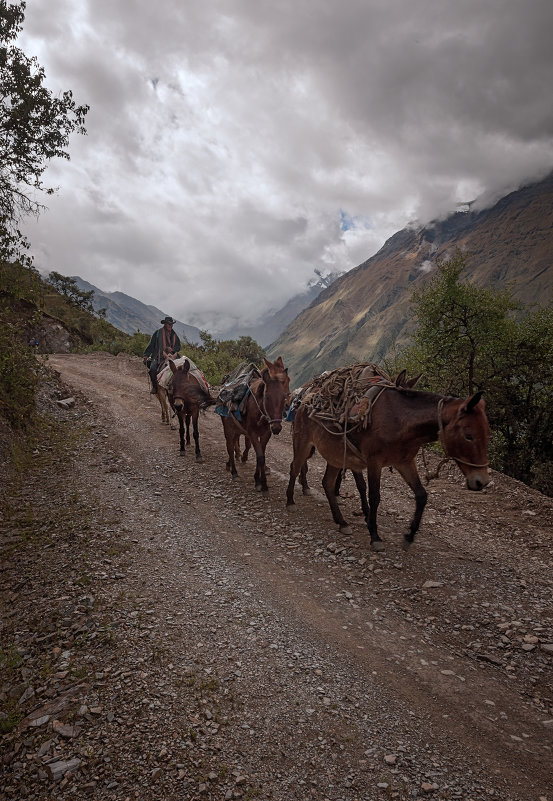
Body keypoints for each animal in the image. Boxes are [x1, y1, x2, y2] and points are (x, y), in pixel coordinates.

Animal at [220, 358, 288, 494]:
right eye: (267, 397)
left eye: (284, 396)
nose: (277, 428)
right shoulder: (252, 433)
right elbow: (260, 456)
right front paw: (262, 483)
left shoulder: (266, 434)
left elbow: (260, 455)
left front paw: (258, 479)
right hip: (228, 428)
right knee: (229, 446)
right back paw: (234, 472)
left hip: (236, 429)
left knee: (234, 444)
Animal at [286, 386, 490, 552]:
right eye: (469, 436)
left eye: (487, 434)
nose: (482, 482)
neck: (401, 420)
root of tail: (304, 402)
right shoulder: (374, 463)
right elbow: (374, 497)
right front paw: (374, 536)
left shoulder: (405, 462)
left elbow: (421, 495)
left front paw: (409, 536)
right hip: (303, 443)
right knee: (295, 468)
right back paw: (290, 502)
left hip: (334, 456)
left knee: (327, 483)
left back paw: (342, 522)